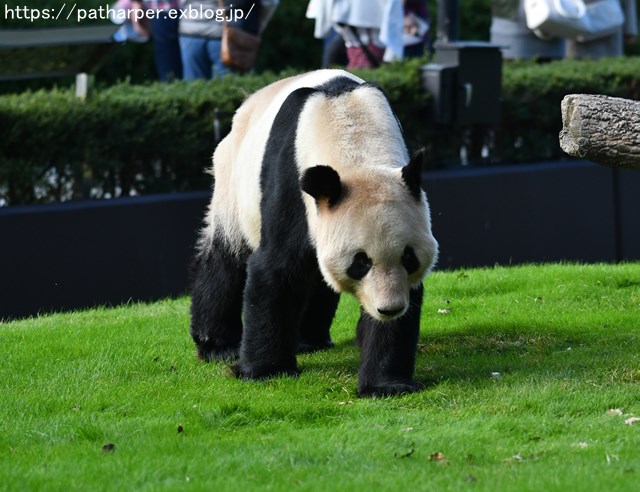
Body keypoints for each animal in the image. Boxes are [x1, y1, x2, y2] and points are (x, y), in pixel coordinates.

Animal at [190, 68, 438, 396]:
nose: (389, 308)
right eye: (361, 262)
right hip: (233, 180)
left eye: (409, 258)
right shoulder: (290, 183)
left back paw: (310, 339)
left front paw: (386, 384)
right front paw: (265, 370)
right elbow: (276, 269)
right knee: (225, 258)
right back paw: (218, 345)